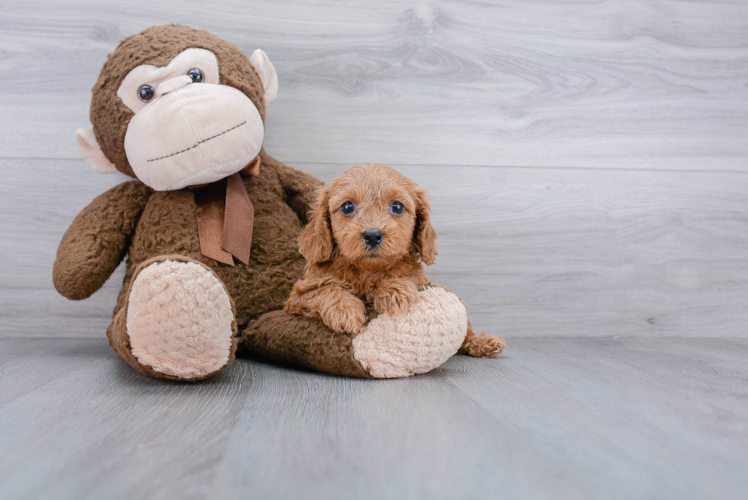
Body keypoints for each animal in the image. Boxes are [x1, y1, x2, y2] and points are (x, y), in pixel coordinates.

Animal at [286, 162, 508, 358]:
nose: (373, 235)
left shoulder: (421, 282)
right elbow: (324, 290)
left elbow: (404, 276)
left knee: (465, 336)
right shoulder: (297, 297)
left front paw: (394, 291)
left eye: (397, 207)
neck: (367, 271)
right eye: (347, 207)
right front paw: (345, 311)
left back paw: (483, 343)